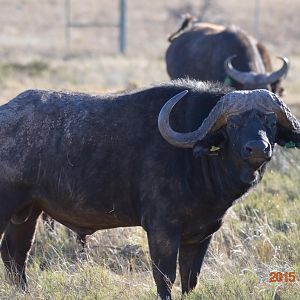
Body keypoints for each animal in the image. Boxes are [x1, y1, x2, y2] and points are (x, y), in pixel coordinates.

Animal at [0, 80, 300, 300]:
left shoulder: (201, 235)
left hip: (28, 212)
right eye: (234, 124)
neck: (194, 158)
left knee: (15, 254)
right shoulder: (162, 230)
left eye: (271, 123)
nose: (257, 149)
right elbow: (164, 278)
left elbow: (190, 280)